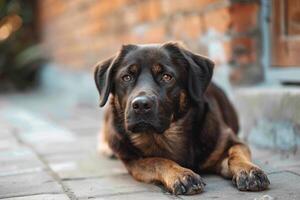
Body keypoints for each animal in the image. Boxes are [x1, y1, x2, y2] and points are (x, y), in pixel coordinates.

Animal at [93, 41, 270, 195]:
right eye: (126, 77)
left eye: (166, 77)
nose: (141, 105)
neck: (165, 136)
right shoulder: (134, 161)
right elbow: (158, 160)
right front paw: (181, 174)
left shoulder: (230, 141)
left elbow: (236, 154)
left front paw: (248, 170)